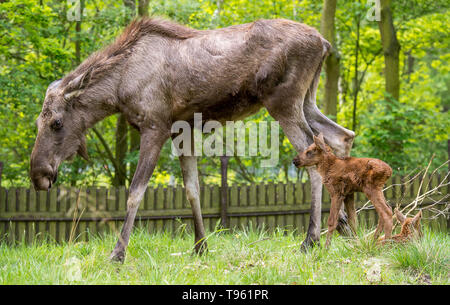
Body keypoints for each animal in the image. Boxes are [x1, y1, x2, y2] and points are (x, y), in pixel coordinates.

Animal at [30, 17, 356, 262]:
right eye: (37, 121)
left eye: (57, 122)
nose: (38, 176)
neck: (118, 88)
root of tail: (324, 43)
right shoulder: (181, 130)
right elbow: (192, 188)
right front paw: (201, 246)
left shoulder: (155, 127)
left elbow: (135, 192)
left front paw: (118, 253)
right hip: (306, 100)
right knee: (342, 137)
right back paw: (347, 227)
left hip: (283, 102)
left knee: (313, 158)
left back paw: (310, 239)